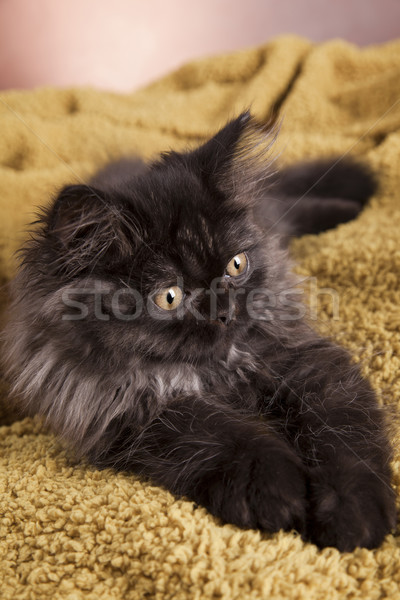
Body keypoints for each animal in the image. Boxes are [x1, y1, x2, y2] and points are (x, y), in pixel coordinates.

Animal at [1, 111, 396, 548]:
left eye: (236, 265)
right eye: (169, 297)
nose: (223, 312)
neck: (212, 371)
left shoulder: (307, 364)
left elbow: (344, 435)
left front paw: (352, 512)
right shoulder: (130, 412)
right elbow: (223, 436)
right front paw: (273, 491)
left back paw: (350, 203)